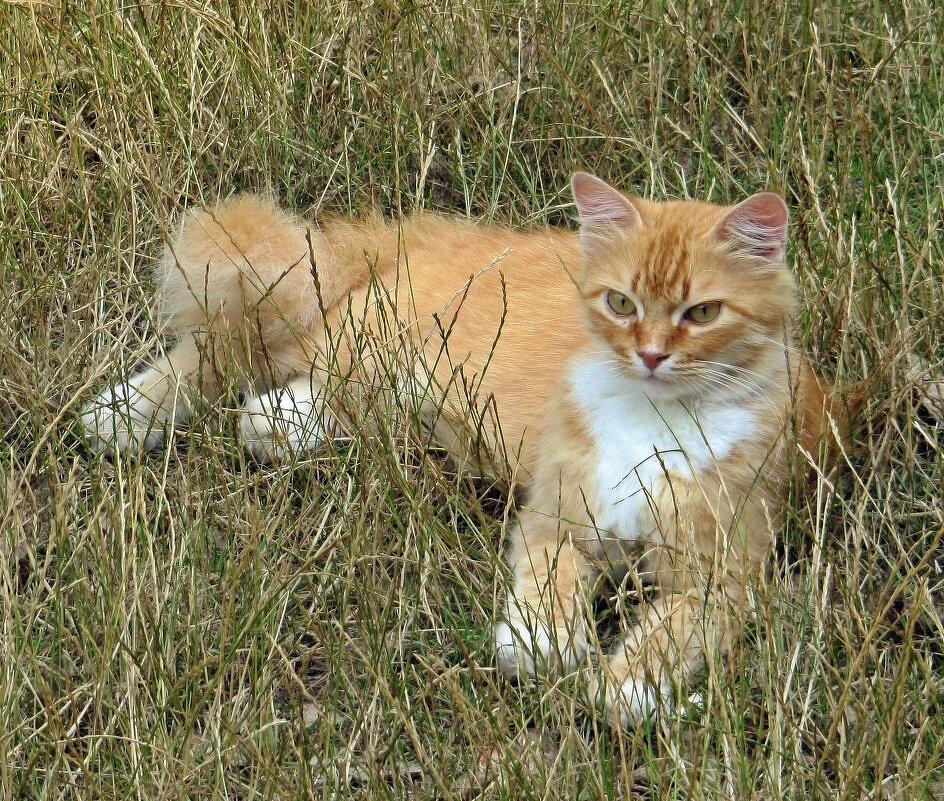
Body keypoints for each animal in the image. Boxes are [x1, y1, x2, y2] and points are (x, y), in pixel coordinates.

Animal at [79, 173, 832, 724]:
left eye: (702, 313)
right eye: (621, 303)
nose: (649, 356)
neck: (651, 419)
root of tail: (435, 235)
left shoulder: (722, 576)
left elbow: (666, 639)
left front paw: (623, 689)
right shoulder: (553, 519)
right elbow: (549, 590)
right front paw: (541, 646)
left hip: (382, 393)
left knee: (275, 403)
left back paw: (261, 427)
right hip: (362, 343)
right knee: (216, 356)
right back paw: (120, 416)